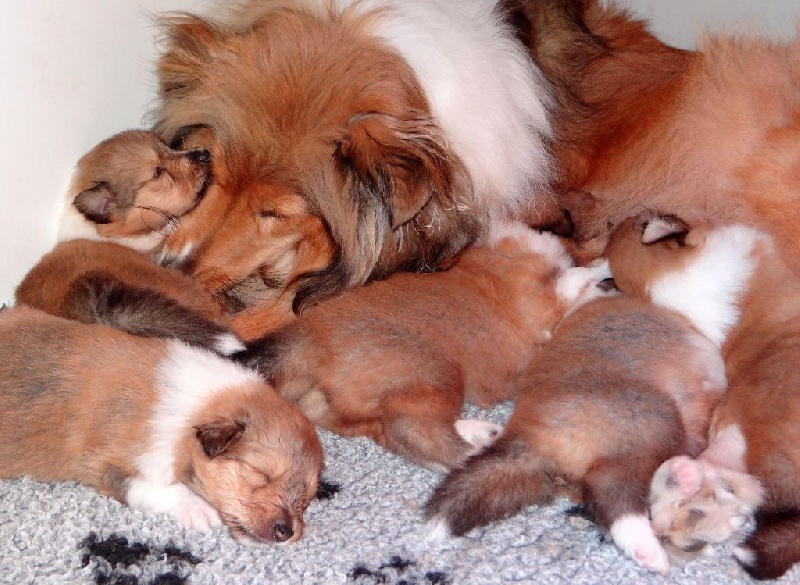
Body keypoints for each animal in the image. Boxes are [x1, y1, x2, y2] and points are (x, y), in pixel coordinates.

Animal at [0, 306, 323, 543]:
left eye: (307, 499)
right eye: (261, 474)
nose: (286, 532)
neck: (191, 410)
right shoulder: (105, 463)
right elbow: (157, 488)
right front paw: (199, 509)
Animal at [235, 223, 611, 471]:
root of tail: (310, 334)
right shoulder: (540, 300)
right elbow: (572, 281)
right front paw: (599, 273)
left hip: (337, 402)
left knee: (383, 428)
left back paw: (476, 433)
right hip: (434, 371)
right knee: (410, 428)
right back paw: (474, 449)